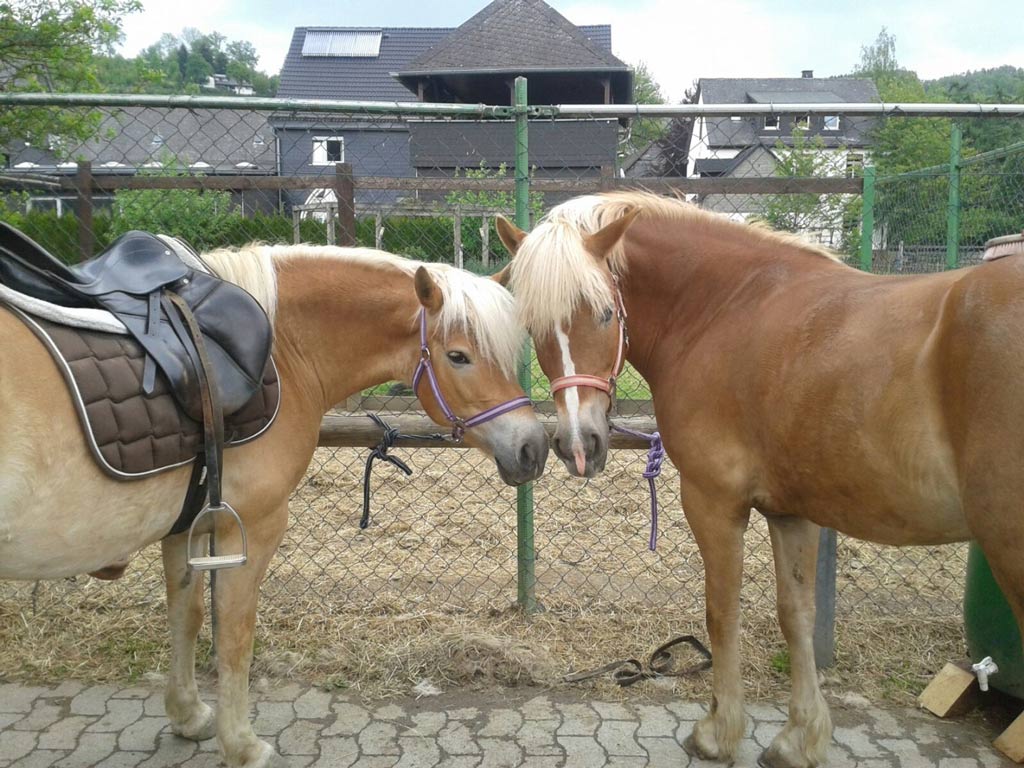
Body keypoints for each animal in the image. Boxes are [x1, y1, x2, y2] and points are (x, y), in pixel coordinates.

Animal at [0, 243, 548, 765]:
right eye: (458, 356)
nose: (533, 448)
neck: (282, 348)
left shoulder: (186, 525)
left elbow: (187, 616)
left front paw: (189, 714)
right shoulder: (249, 528)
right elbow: (235, 636)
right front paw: (241, 745)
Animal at [495, 189, 1024, 765]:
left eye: (606, 312)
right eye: (533, 326)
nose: (578, 444)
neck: (724, 309)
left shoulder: (714, 503)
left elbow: (722, 611)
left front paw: (719, 731)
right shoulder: (792, 512)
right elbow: (796, 615)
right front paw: (799, 737)